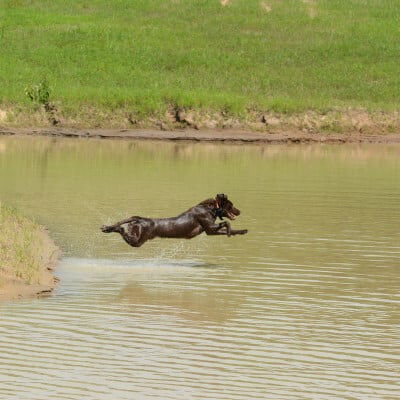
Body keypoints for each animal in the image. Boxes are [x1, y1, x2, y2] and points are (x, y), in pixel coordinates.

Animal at [101, 194, 247, 247]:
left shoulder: (210, 232)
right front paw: (229, 231)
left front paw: (242, 231)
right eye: (231, 205)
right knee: (121, 229)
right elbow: (226, 223)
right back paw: (109, 228)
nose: (240, 211)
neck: (211, 208)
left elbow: (231, 229)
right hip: (137, 240)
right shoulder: (210, 228)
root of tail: (140, 219)